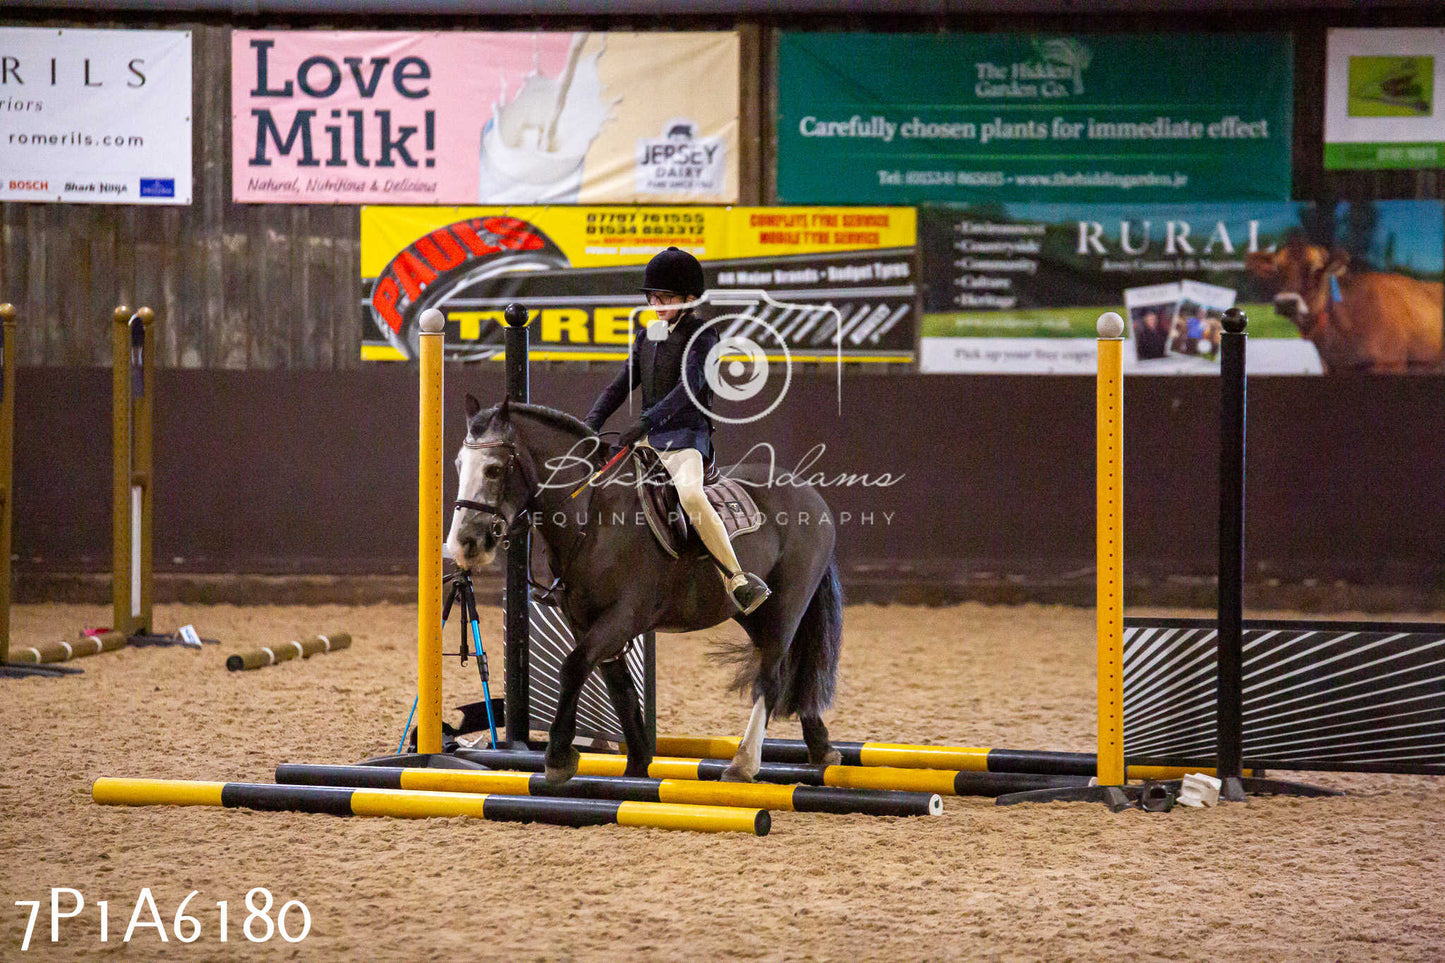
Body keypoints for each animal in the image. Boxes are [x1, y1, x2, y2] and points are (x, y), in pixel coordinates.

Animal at [442, 396, 843, 780]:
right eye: (459, 465)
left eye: (494, 469)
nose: (464, 543)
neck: (594, 516)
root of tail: (810, 493)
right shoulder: (585, 622)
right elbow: (619, 688)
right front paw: (636, 766)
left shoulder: (622, 617)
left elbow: (572, 668)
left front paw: (557, 758)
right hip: (751, 614)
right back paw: (822, 749)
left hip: (786, 607)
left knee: (772, 676)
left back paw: (742, 764)